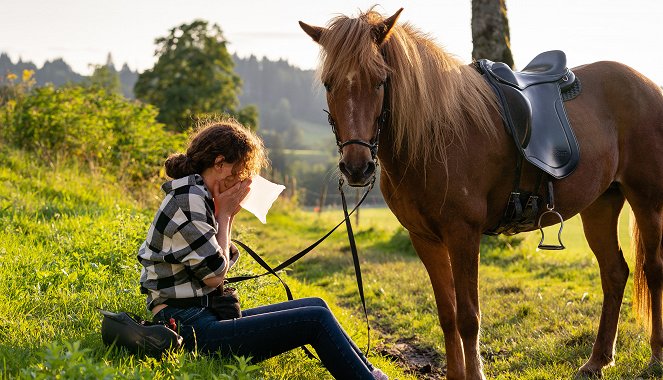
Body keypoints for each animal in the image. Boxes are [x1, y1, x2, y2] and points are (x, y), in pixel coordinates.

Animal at [300, 5, 663, 380]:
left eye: (379, 81)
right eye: (329, 83)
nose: (357, 168)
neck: (434, 135)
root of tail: (647, 84)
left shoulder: (463, 234)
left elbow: (468, 317)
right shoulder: (424, 238)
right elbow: (447, 314)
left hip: (647, 201)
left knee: (653, 270)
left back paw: (656, 355)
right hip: (600, 205)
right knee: (614, 273)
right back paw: (597, 360)